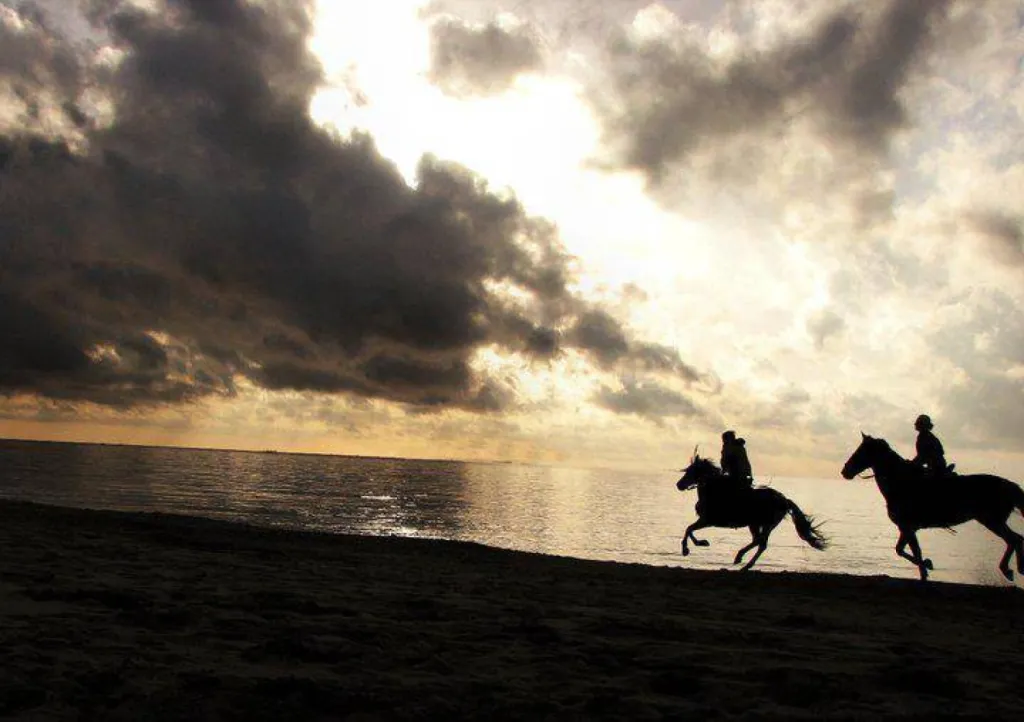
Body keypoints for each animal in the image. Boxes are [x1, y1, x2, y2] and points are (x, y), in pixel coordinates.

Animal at [676, 456, 828, 571]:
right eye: (687, 470)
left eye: (691, 471)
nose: (679, 485)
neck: (714, 491)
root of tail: (784, 500)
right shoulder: (705, 521)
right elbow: (689, 529)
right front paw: (696, 545)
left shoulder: (708, 520)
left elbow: (689, 529)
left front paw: (692, 547)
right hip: (756, 524)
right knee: (759, 542)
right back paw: (744, 563)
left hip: (765, 524)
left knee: (760, 542)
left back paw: (741, 559)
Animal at [841, 433, 1024, 581]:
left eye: (860, 452)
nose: (845, 471)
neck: (901, 482)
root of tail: (1010, 485)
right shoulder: (906, 528)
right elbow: (902, 550)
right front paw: (926, 567)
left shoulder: (907, 527)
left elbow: (912, 551)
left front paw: (926, 568)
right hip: (993, 521)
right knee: (1016, 539)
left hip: (992, 520)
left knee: (1014, 539)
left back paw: (1008, 570)